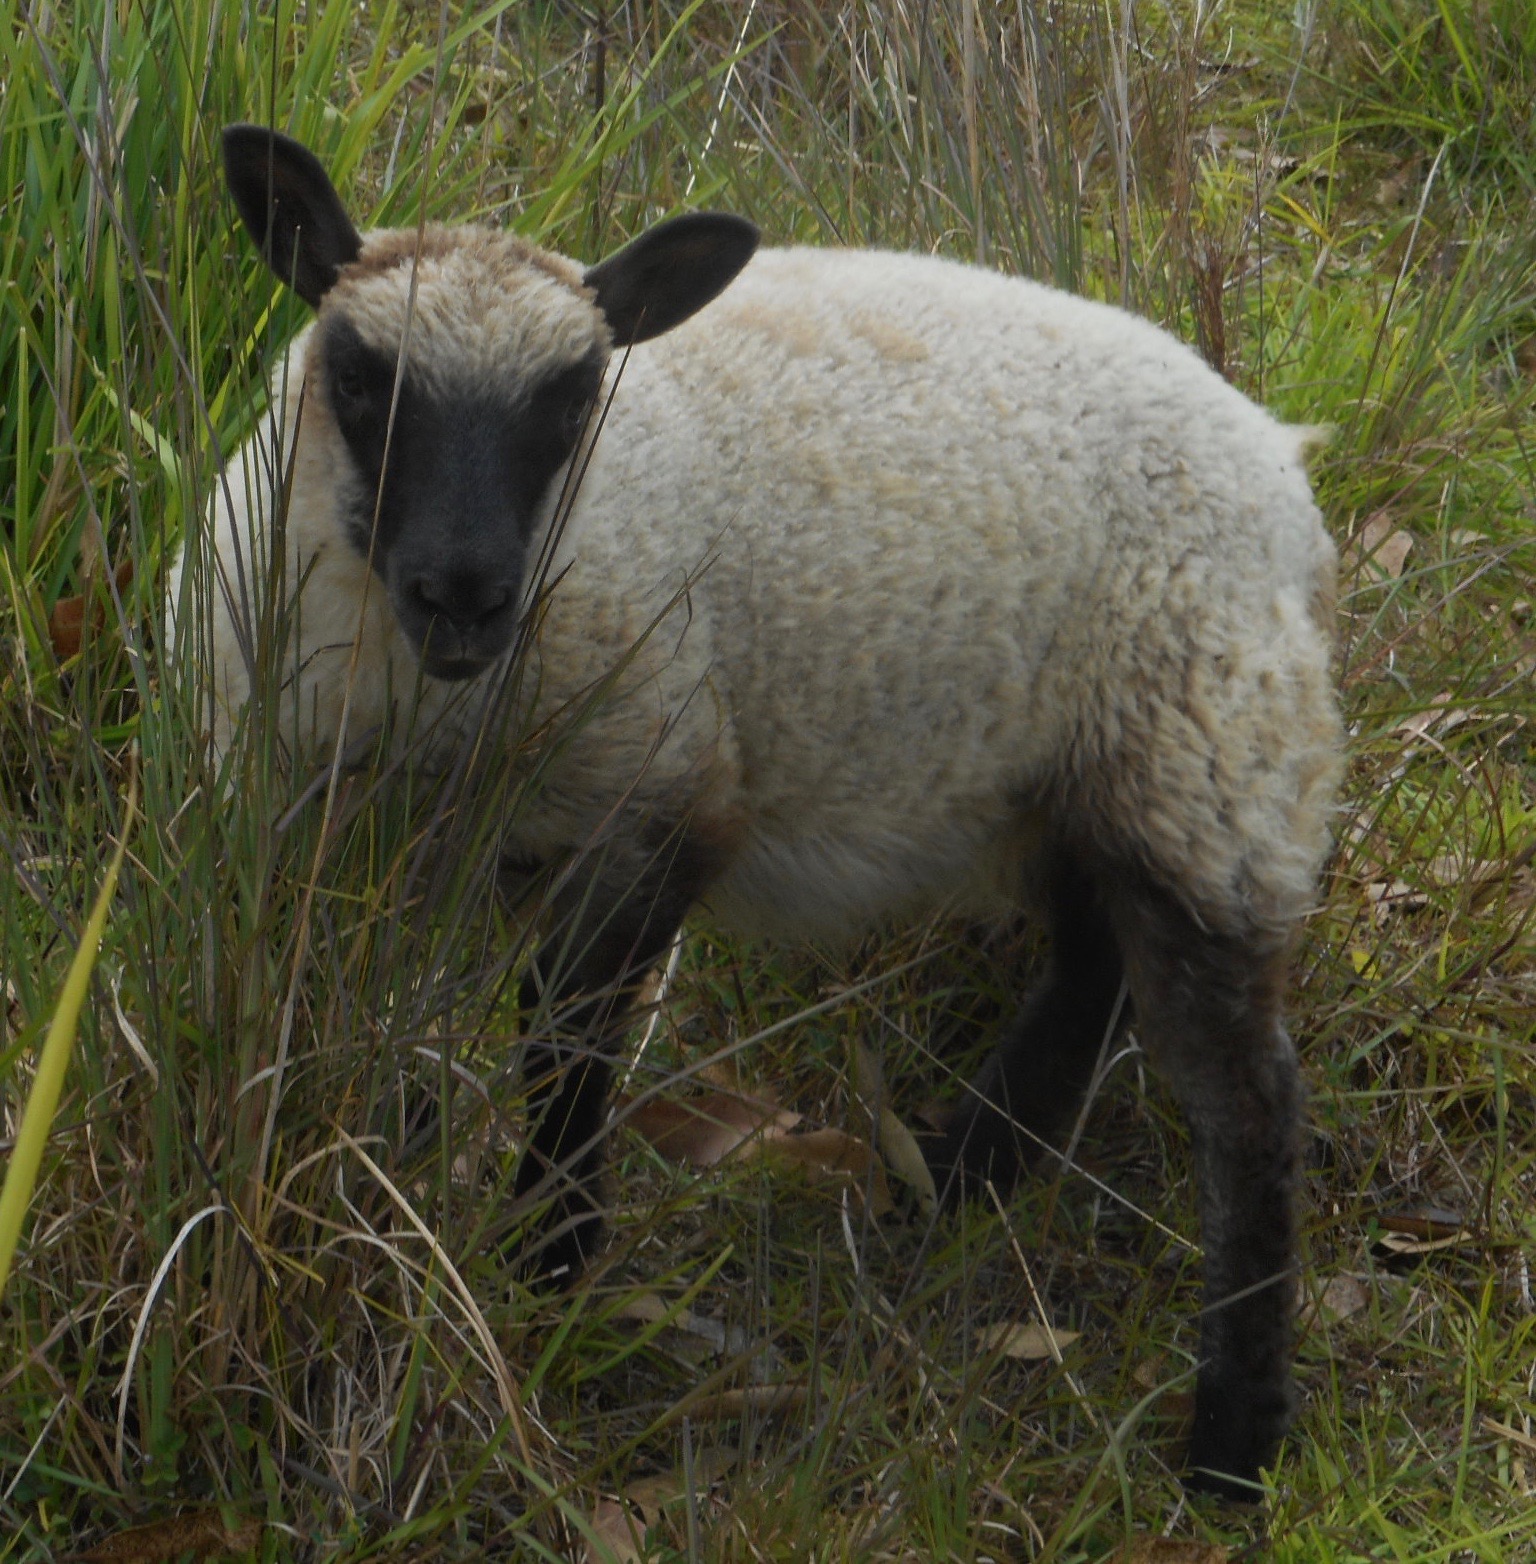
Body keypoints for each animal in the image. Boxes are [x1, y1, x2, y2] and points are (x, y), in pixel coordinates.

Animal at [177, 125, 1332, 1501]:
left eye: (573, 398)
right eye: (358, 377)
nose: (465, 589)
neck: (426, 695)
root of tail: (1279, 461)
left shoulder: (660, 792)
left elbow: (567, 1042)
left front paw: (549, 1258)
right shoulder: (311, 829)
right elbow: (331, 1034)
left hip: (1205, 759)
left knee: (1247, 1102)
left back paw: (1232, 1441)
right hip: (1078, 775)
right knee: (1091, 971)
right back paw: (953, 1179)